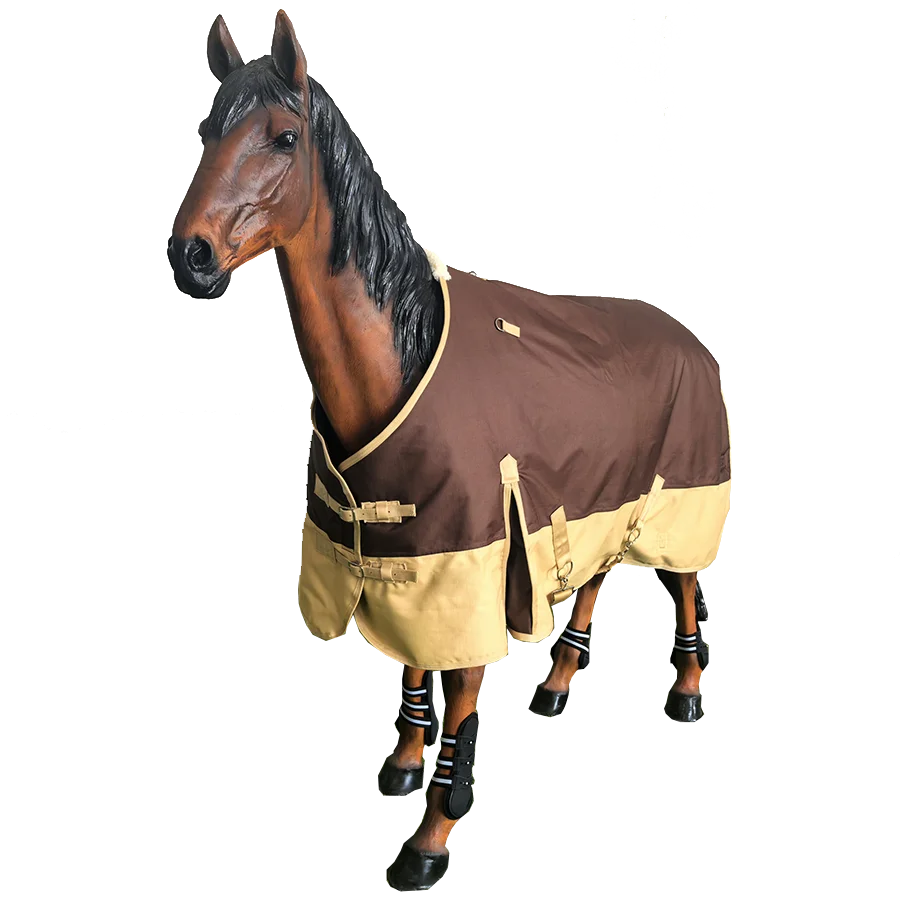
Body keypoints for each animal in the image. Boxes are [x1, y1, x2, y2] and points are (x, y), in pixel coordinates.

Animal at [168, 11, 730, 892]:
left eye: (285, 138)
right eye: (204, 129)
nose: (188, 258)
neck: (399, 359)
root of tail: (693, 339)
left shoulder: (475, 558)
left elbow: (457, 704)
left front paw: (430, 839)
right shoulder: (408, 550)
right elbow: (410, 672)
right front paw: (401, 766)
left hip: (680, 499)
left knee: (685, 587)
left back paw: (689, 695)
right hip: (602, 497)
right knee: (592, 582)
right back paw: (557, 686)